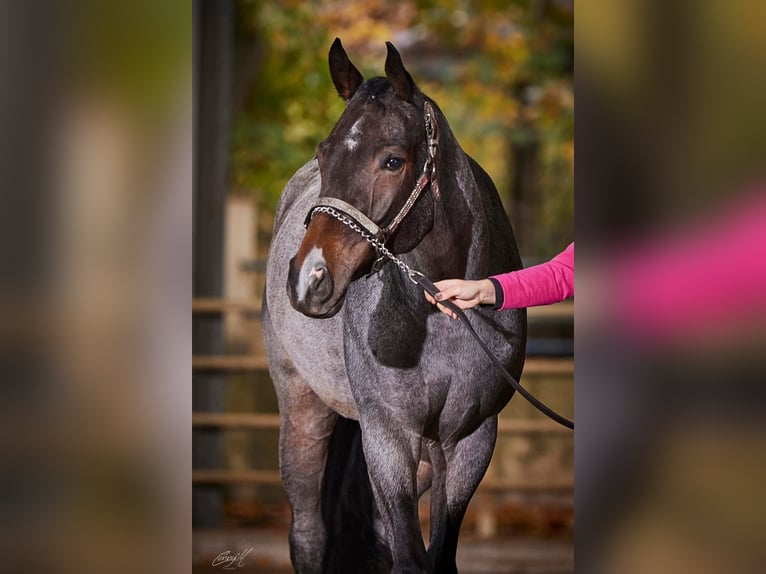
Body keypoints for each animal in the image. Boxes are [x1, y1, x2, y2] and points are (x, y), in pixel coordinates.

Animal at [262, 38, 526, 574]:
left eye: (392, 161)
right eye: (323, 153)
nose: (309, 278)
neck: (439, 317)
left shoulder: (469, 441)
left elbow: (434, 557)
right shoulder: (388, 435)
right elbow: (407, 557)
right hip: (302, 410)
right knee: (308, 533)